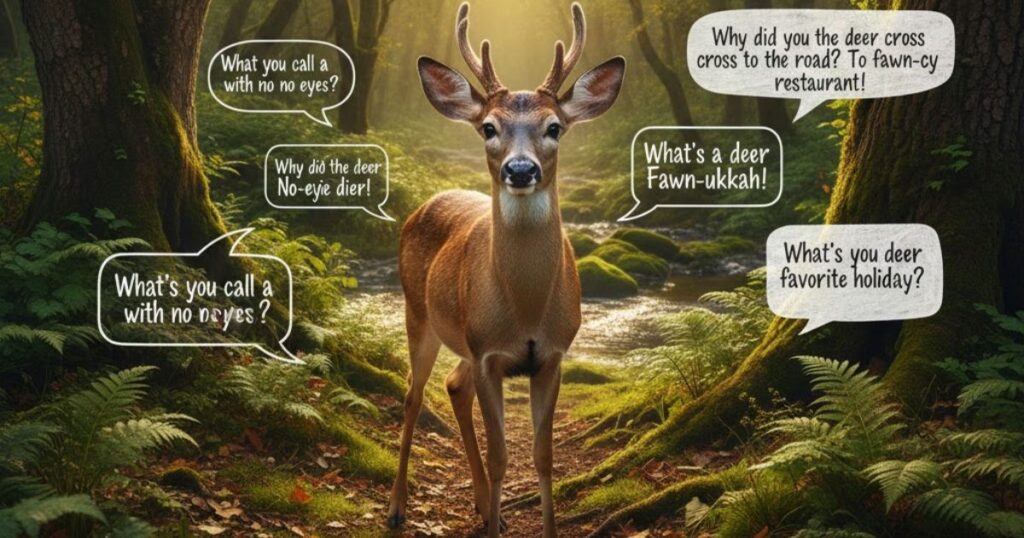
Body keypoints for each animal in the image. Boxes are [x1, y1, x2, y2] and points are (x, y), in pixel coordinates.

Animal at [386, 3, 624, 537]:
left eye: (555, 127)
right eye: (488, 128)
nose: (520, 170)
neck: (526, 307)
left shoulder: (553, 354)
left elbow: (542, 456)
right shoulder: (488, 352)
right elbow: (500, 457)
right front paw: (495, 515)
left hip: (460, 338)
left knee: (453, 386)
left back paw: (479, 504)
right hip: (418, 313)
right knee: (413, 395)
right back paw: (396, 508)